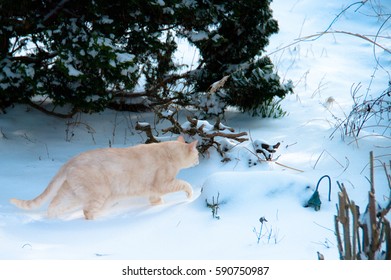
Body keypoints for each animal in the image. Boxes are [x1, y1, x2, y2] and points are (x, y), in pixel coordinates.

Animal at [9, 137, 199, 220]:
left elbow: (156, 201)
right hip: (99, 194)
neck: (169, 152)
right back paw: (100, 219)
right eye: (197, 154)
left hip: (72, 194)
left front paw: (159, 206)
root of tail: (72, 160)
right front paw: (190, 195)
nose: (199, 160)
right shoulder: (163, 184)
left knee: (54, 205)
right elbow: (185, 184)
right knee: (87, 212)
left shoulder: (153, 192)